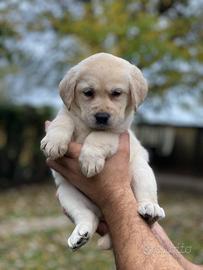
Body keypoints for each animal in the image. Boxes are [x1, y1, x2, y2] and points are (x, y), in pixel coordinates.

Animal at [40, 52, 165, 251]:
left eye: (116, 93)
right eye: (88, 92)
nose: (102, 117)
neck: (87, 127)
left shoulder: (117, 131)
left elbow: (99, 136)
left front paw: (89, 160)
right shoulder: (67, 113)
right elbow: (63, 121)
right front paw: (54, 142)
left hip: (142, 171)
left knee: (149, 207)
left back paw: (150, 210)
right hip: (67, 193)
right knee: (87, 216)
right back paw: (80, 235)